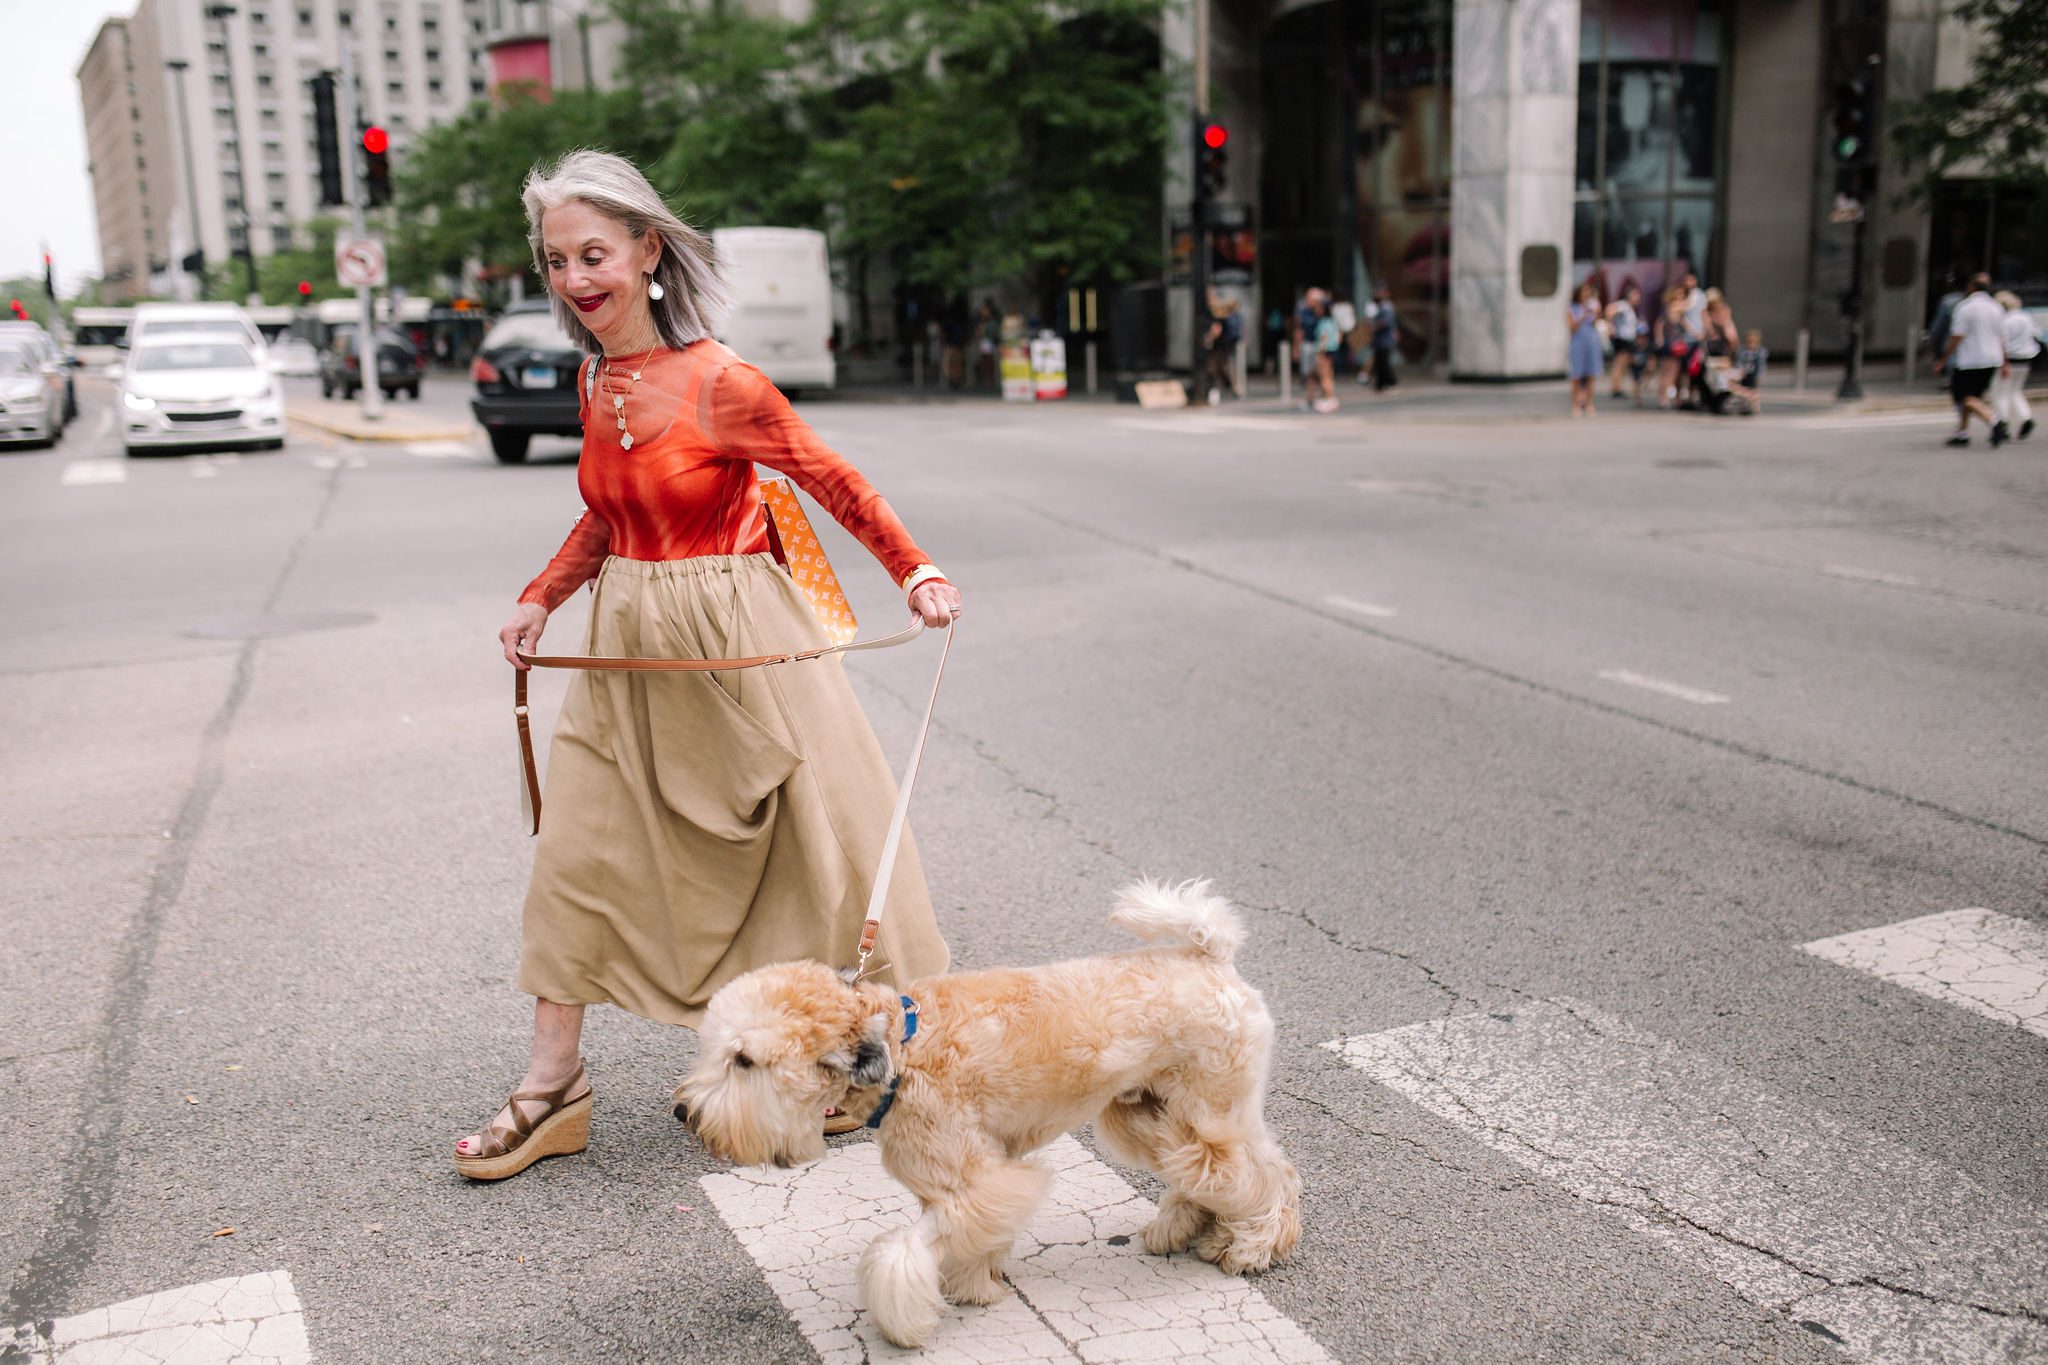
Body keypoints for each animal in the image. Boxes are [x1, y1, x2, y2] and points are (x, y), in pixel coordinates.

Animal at [679, 879, 1302, 1350]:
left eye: (744, 1060)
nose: (686, 1111)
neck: (903, 1050)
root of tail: (1210, 957)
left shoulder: (974, 1184)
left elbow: (904, 1253)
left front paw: (906, 1320)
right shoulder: (953, 1186)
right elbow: (964, 1242)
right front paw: (975, 1285)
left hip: (1209, 1113)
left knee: (1265, 1175)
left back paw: (1252, 1245)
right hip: (1153, 1118)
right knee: (1210, 1174)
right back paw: (1182, 1228)